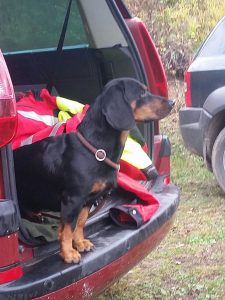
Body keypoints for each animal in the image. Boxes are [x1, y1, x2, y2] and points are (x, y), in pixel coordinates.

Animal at [14, 78, 174, 264]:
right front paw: (68, 253)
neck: (96, 149)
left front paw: (80, 243)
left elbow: (80, 223)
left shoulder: (88, 200)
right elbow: (68, 229)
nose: (172, 103)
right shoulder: (73, 199)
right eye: (141, 93)